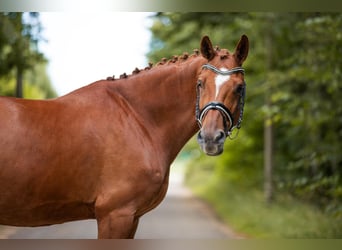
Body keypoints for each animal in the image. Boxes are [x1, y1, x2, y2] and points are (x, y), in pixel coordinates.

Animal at [0, 35, 248, 238]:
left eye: (239, 88)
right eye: (200, 83)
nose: (210, 138)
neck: (137, 117)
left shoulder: (132, 218)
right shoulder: (116, 215)